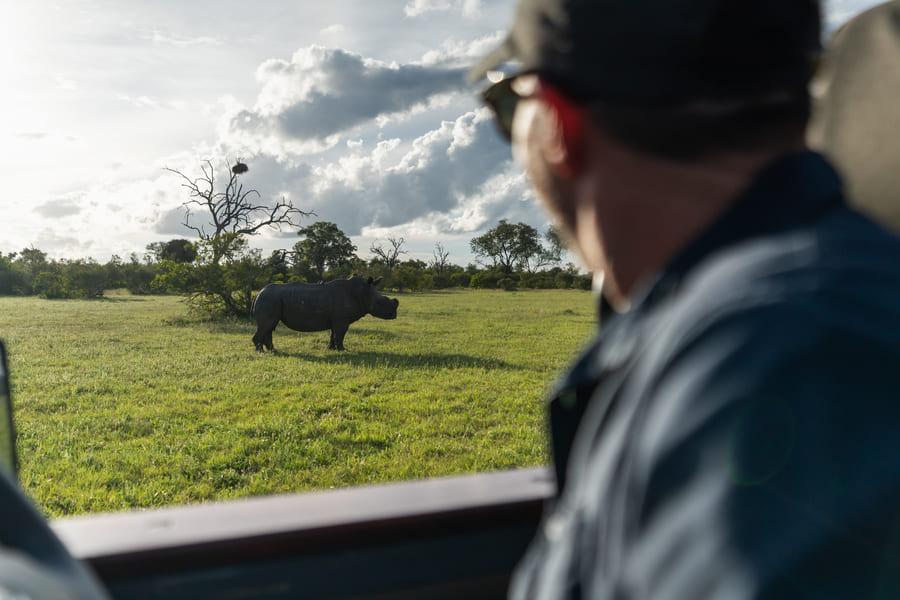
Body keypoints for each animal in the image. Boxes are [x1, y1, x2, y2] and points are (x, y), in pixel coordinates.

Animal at [251, 275, 399, 352]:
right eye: (381, 302)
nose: (394, 315)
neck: (362, 292)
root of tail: (258, 293)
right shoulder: (342, 320)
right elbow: (340, 334)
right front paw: (343, 350)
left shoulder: (337, 319)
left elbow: (334, 334)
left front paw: (331, 348)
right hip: (269, 299)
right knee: (267, 325)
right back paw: (261, 352)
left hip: (271, 299)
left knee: (269, 326)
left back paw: (272, 350)